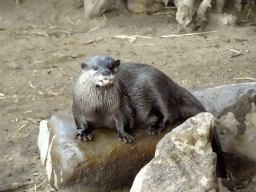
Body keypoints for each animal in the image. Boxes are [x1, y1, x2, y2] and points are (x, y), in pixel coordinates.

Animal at [72, 55, 206, 142]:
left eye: (112, 67)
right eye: (95, 67)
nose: (106, 73)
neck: (99, 108)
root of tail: (170, 81)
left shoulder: (121, 106)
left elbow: (123, 120)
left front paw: (124, 135)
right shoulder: (78, 107)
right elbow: (80, 122)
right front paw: (83, 133)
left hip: (158, 88)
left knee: (168, 114)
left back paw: (154, 128)